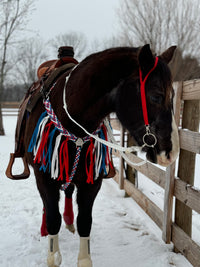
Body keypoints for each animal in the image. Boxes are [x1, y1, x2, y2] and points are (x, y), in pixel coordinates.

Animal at [21, 44, 178, 267]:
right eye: (156, 96)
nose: (171, 152)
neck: (71, 117)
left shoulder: (91, 181)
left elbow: (84, 222)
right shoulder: (44, 178)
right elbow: (52, 218)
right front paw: (53, 254)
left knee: (68, 193)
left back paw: (69, 221)